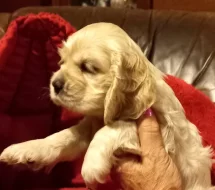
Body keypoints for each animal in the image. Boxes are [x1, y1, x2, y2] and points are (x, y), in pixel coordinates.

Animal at [0, 22, 215, 190]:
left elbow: (114, 127)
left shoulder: (166, 133)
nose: (55, 84)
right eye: (62, 62)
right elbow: (62, 137)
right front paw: (27, 149)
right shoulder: (87, 128)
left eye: (88, 67)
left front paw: (91, 166)